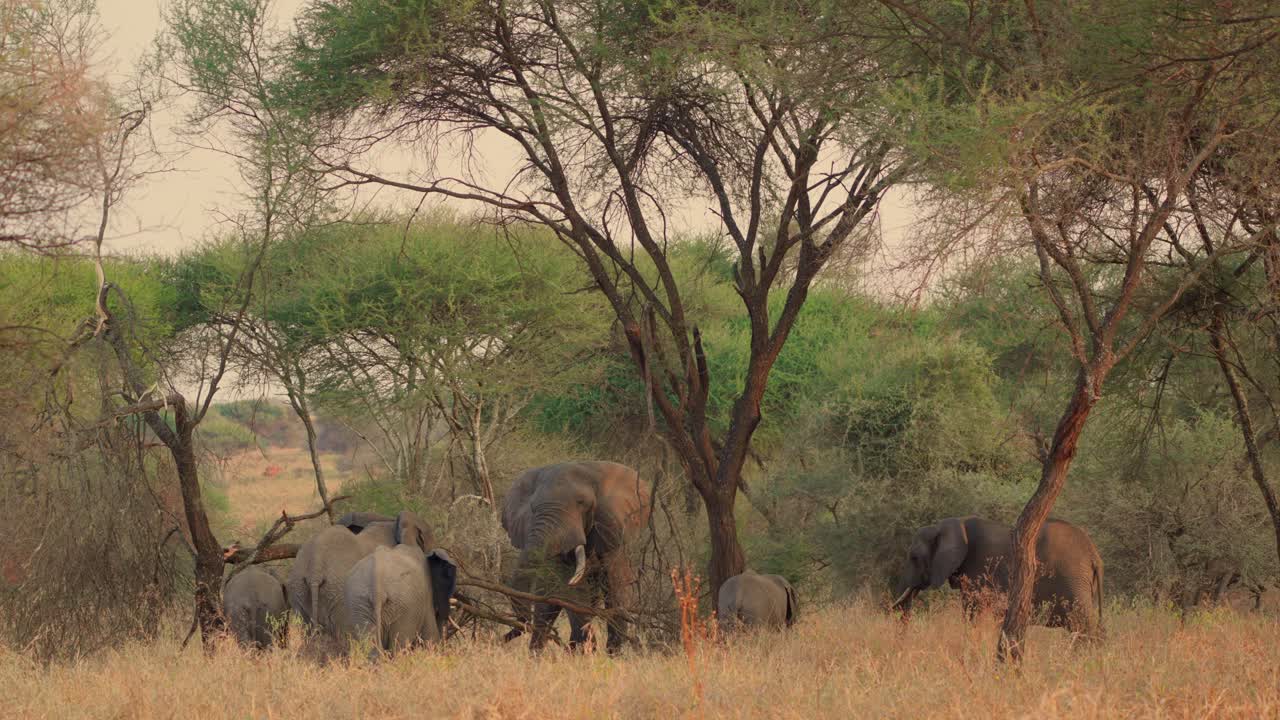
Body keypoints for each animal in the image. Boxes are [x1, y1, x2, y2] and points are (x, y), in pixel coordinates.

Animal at [500, 461, 651, 653]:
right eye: (533, 508)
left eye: (582, 503)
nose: (501, 639)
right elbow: (571, 589)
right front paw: (586, 650)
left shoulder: (613, 529)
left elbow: (615, 584)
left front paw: (608, 653)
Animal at [891, 516, 1104, 640]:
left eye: (914, 557)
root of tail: (1094, 555)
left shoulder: (978, 570)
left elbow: (972, 613)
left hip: (1073, 580)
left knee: (1082, 625)